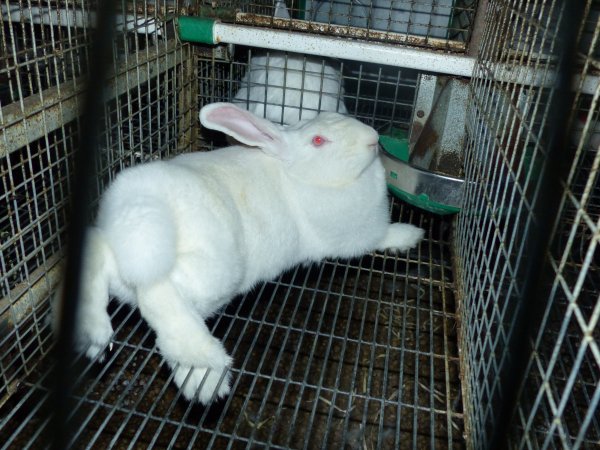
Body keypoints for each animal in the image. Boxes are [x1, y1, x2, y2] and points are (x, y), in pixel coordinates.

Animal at [70, 103, 424, 404]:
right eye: (319, 140)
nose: (373, 138)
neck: (297, 175)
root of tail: (139, 206)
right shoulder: (357, 236)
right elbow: (382, 236)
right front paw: (409, 235)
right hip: (205, 267)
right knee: (160, 297)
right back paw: (206, 375)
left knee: (99, 254)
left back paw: (95, 333)